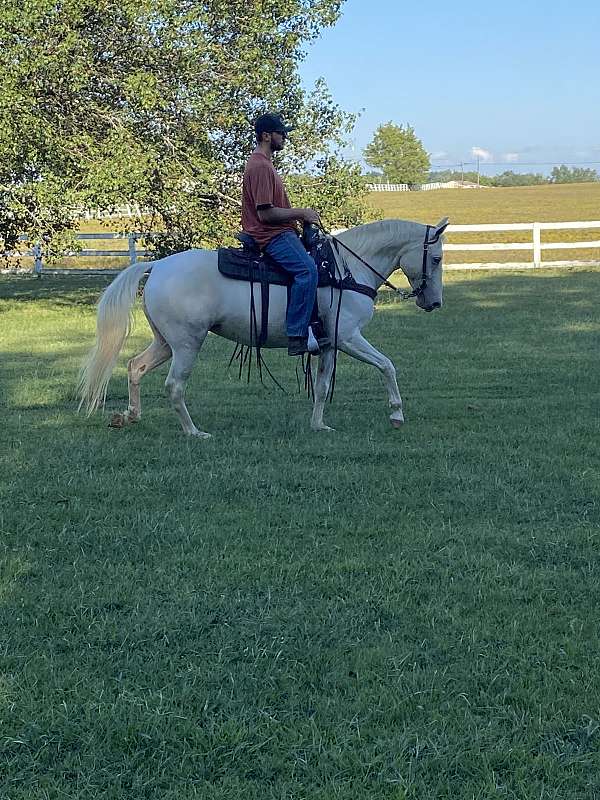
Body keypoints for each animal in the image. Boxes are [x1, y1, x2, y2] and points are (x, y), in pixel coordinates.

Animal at [77, 216, 448, 434]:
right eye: (437, 257)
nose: (434, 303)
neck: (344, 270)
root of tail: (158, 266)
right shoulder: (348, 337)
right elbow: (387, 365)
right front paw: (397, 414)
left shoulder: (330, 343)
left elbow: (322, 386)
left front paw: (318, 425)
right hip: (187, 344)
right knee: (174, 386)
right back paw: (194, 432)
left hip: (165, 343)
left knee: (135, 367)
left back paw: (130, 415)